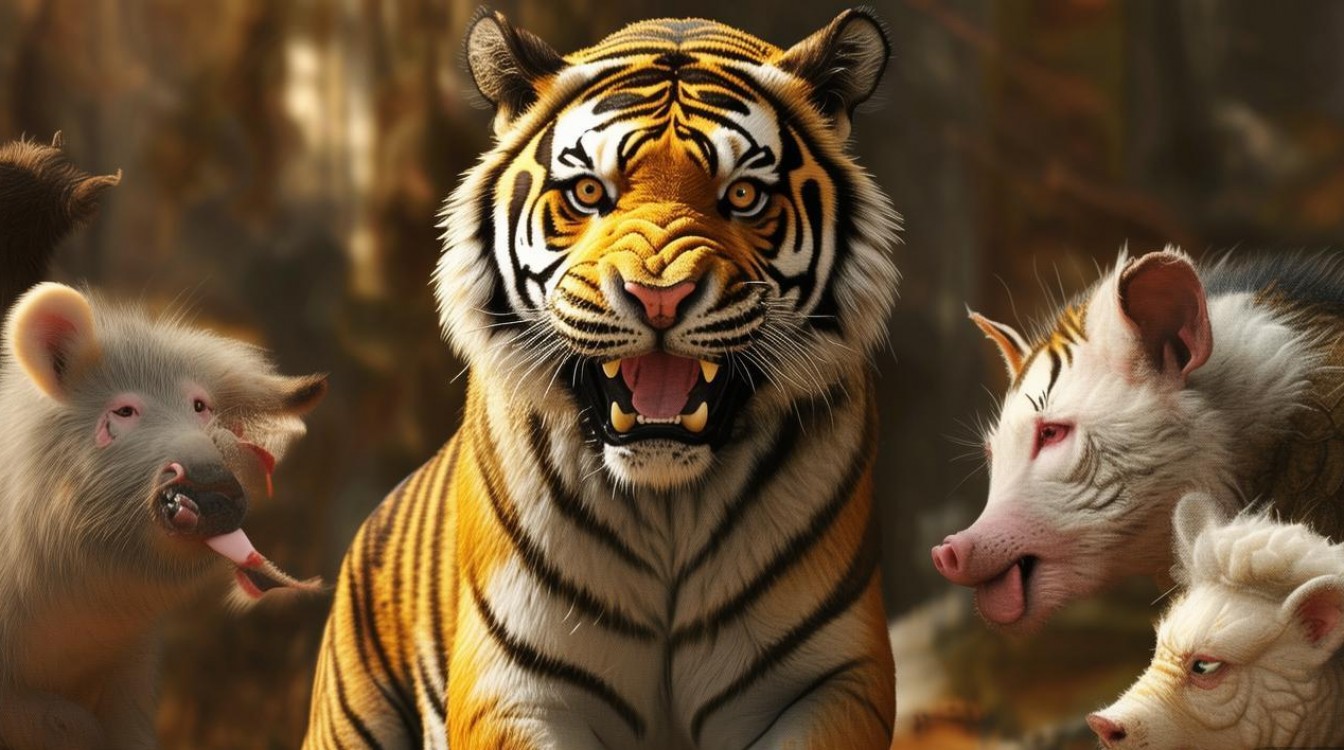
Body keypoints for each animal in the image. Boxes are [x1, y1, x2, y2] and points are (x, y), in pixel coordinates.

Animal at [305, 9, 900, 749]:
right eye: (589, 192)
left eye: (743, 195)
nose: (661, 297)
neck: (668, 503)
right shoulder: (511, 689)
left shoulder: (834, 678)